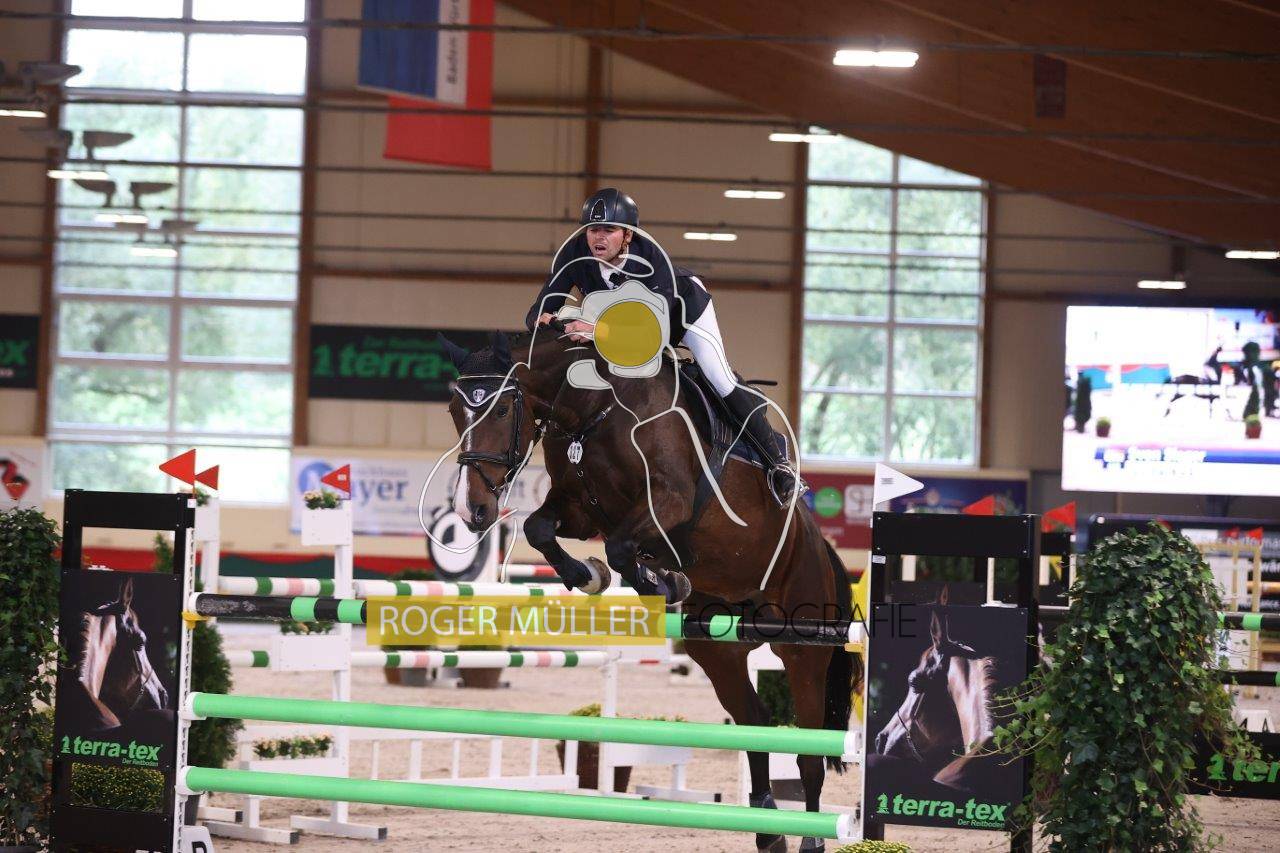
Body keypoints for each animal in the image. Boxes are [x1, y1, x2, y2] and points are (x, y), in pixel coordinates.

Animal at [440, 329, 856, 853]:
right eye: (454, 411)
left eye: (498, 410)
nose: (471, 510)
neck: (592, 409)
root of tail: (819, 543)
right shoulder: (579, 509)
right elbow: (541, 529)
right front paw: (591, 575)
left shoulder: (668, 501)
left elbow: (620, 547)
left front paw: (660, 579)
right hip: (715, 649)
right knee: (757, 723)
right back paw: (767, 827)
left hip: (802, 645)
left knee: (808, 748)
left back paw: (810, 839)